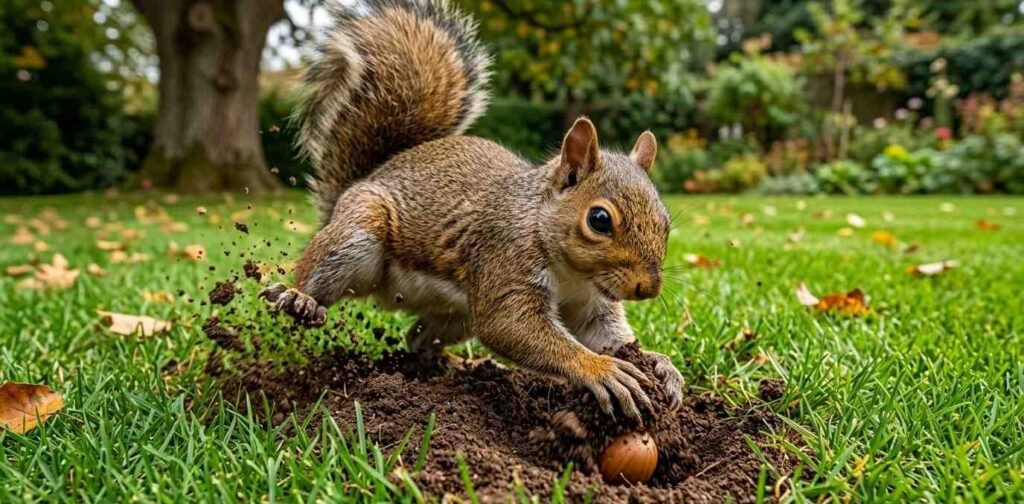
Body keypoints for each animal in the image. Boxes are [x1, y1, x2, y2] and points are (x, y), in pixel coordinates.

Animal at [260, 0, 684, 420]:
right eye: (599, 220)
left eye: (666, 222)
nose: (647, 289)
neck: (572, 273)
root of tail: (362, 181)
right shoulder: (505, 261)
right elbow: (509, 325)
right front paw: (601, 369)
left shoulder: (590, 304)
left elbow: (607, 334)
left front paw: (661, 365)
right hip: (356, 234)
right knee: (318, 272)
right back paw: (300, 299)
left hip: (456, 317)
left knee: (418, 340)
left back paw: (459, 367)